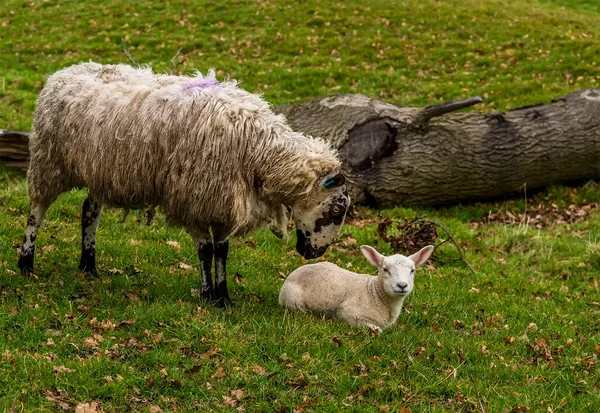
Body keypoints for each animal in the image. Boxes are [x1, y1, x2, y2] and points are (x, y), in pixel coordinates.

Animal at [17, 61, 352, 306]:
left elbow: (222, 251)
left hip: (99, 171)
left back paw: (89, 266)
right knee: (37, 212)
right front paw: (207, 296)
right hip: (49, 161)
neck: (257, 149)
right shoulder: (192, 199)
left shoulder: (221, 204)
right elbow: (205, 251)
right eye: (337, 210)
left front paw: (224, 297)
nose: (315, 255)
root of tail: (62, 72)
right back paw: (26, 263)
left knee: (89, 211)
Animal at [278, 243, 434, 330]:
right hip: (293, 301)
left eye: (412, 270)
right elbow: (378, 330)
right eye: (385, 269)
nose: (402, 285)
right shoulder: (349, 314)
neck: (375, 293)